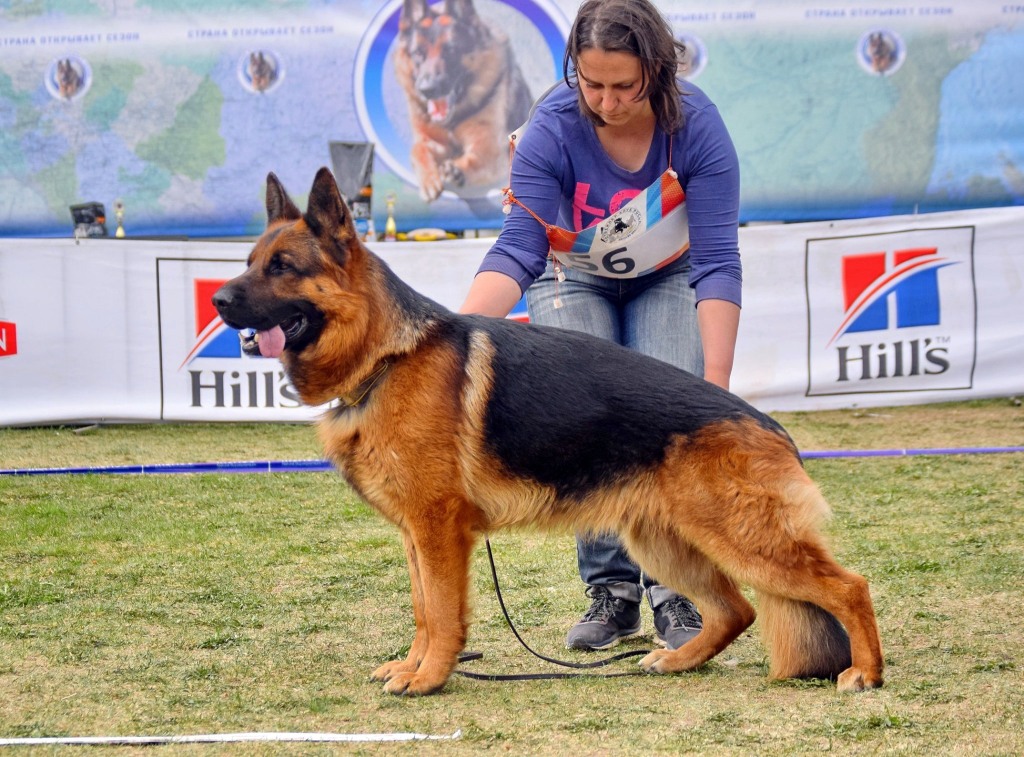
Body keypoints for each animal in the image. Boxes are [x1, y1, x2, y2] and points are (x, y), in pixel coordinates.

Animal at [211, 170, 884, 700]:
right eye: (249, 263)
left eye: (283, 267)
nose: (217, 300)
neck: (386, 356)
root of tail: (770, 427)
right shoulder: (415, 535)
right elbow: (423, 610)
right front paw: (413, 665)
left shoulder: (437, 530)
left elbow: (443, 613)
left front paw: (428, 678)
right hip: (664, 542)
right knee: (738, 609)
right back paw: (678, 660)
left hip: (742, 539)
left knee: (848, 587)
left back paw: (866, 674)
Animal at [393, 0, 532, 202]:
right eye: (418, 53)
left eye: (450, 50)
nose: (427, 89)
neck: (451, 120)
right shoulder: (432, 141)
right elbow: (417, 149)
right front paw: (428, 179)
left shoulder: (490, 148)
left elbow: (478, 160)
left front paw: (456, 170)